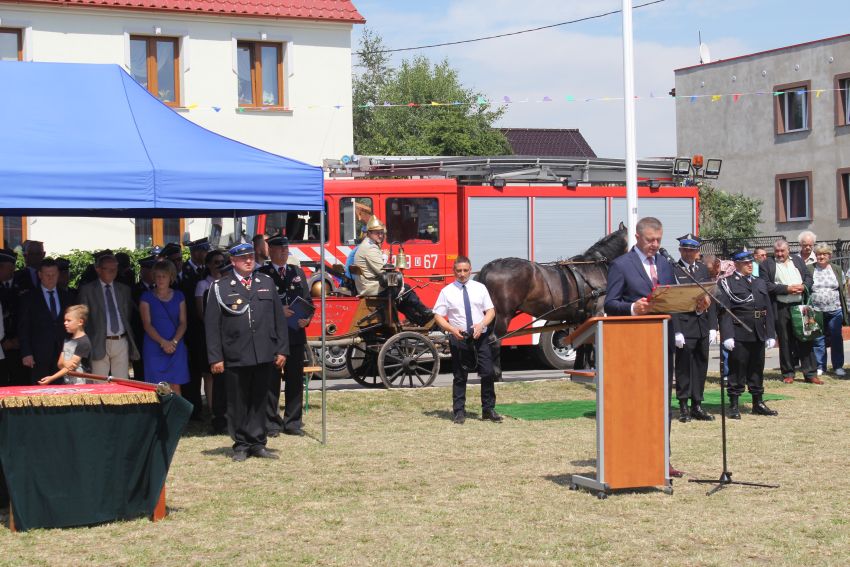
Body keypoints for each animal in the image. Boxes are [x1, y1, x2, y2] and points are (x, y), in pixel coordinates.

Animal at [475, 223, 629, 372]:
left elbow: (582, 342)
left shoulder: (582, 316)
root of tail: (489, 267)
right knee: (495, 340)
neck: (594, 266)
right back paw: (497, 374)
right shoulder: (597, 312)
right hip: (504, 314)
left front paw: (581, 367)